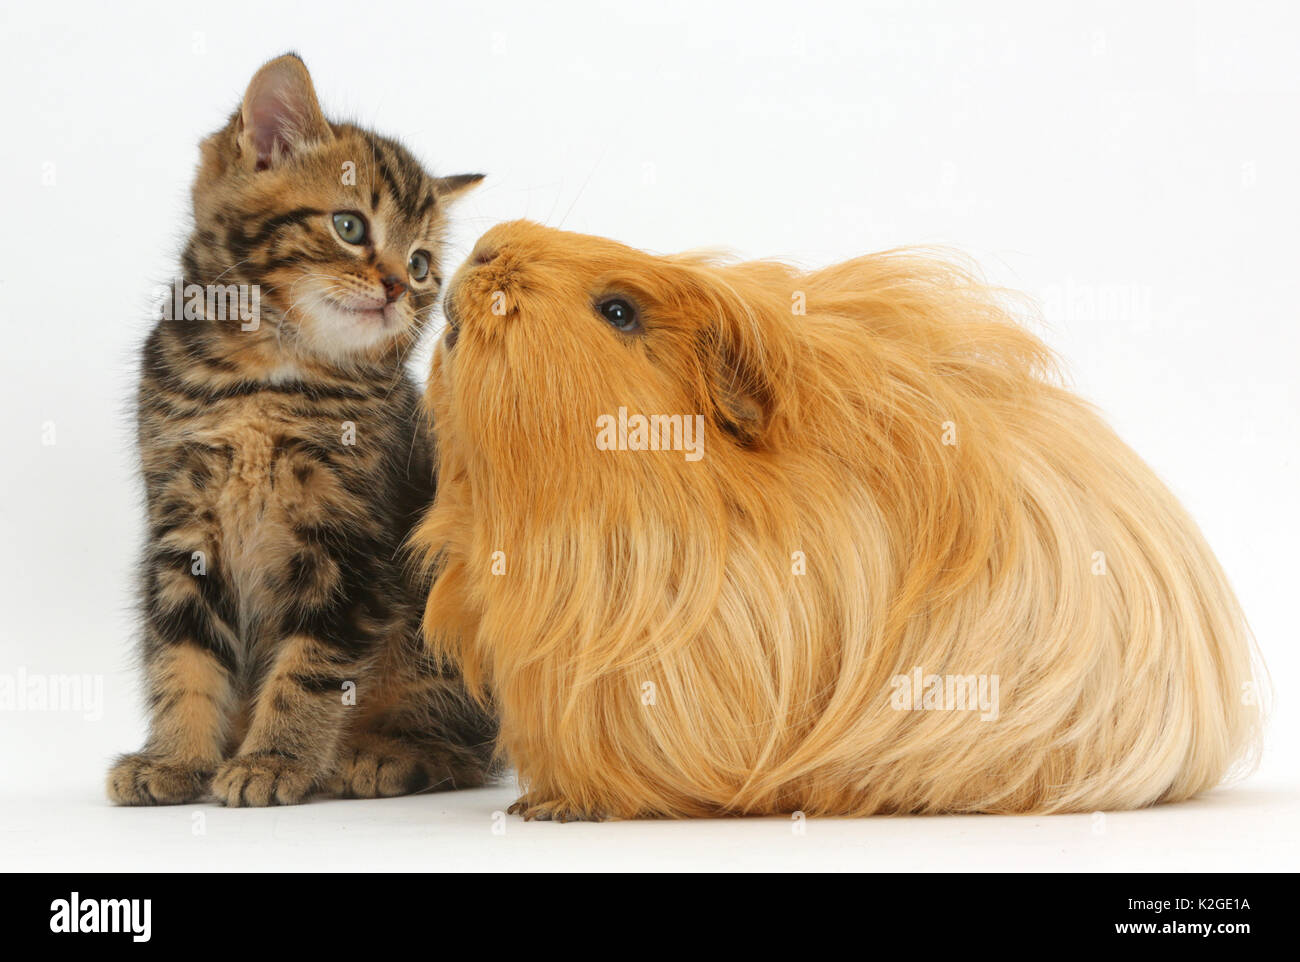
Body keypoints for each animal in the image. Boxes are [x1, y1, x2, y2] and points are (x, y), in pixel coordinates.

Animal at [107, 52, 496, 806]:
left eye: (421, 265)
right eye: (350, 227)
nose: (397, 288)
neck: (266, 380)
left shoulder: (348, 542)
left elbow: (313, 667)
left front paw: (274, 761)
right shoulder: (182, 526)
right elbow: (182, 655)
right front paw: (174, 759)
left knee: (471, 747)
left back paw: (387, 755)